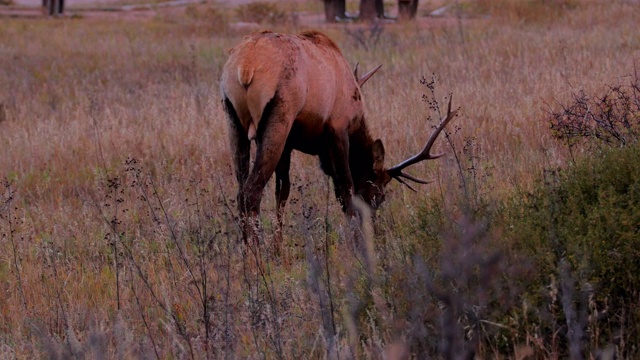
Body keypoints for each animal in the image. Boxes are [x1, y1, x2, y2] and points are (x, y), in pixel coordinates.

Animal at [220, 31, 456, 243]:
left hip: (233, 121)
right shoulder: (338, 129)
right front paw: (357, 241)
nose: (377, 232)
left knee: (241, 190)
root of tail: (246, 66)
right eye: (379, 196)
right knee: (251, 191)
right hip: (280, 117)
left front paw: (278, 248)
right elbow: (346, 188)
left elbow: (282, 192)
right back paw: (256, 254)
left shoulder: (290, 145)